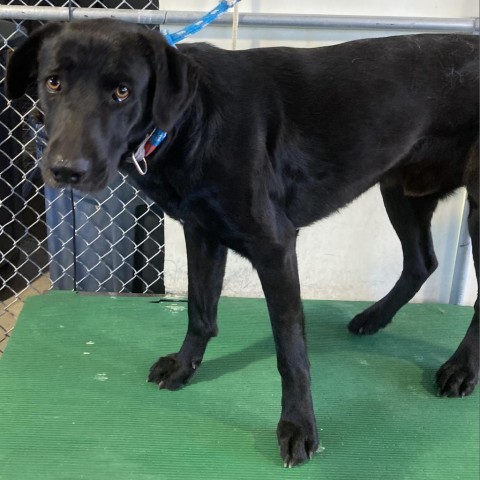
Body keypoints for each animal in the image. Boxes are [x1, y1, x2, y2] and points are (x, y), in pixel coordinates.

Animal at [6, 20, 476, 466]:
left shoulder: (275, 248)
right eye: (53, 82)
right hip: (401, 190)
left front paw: (298, 426)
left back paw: (460, 368)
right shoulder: (201, 233)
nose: (65, 170)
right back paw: (376, 318)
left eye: (122, 91)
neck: (192, 120)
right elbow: (200, 312)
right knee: (422, 263)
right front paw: (184, 367)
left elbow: (291, 352)